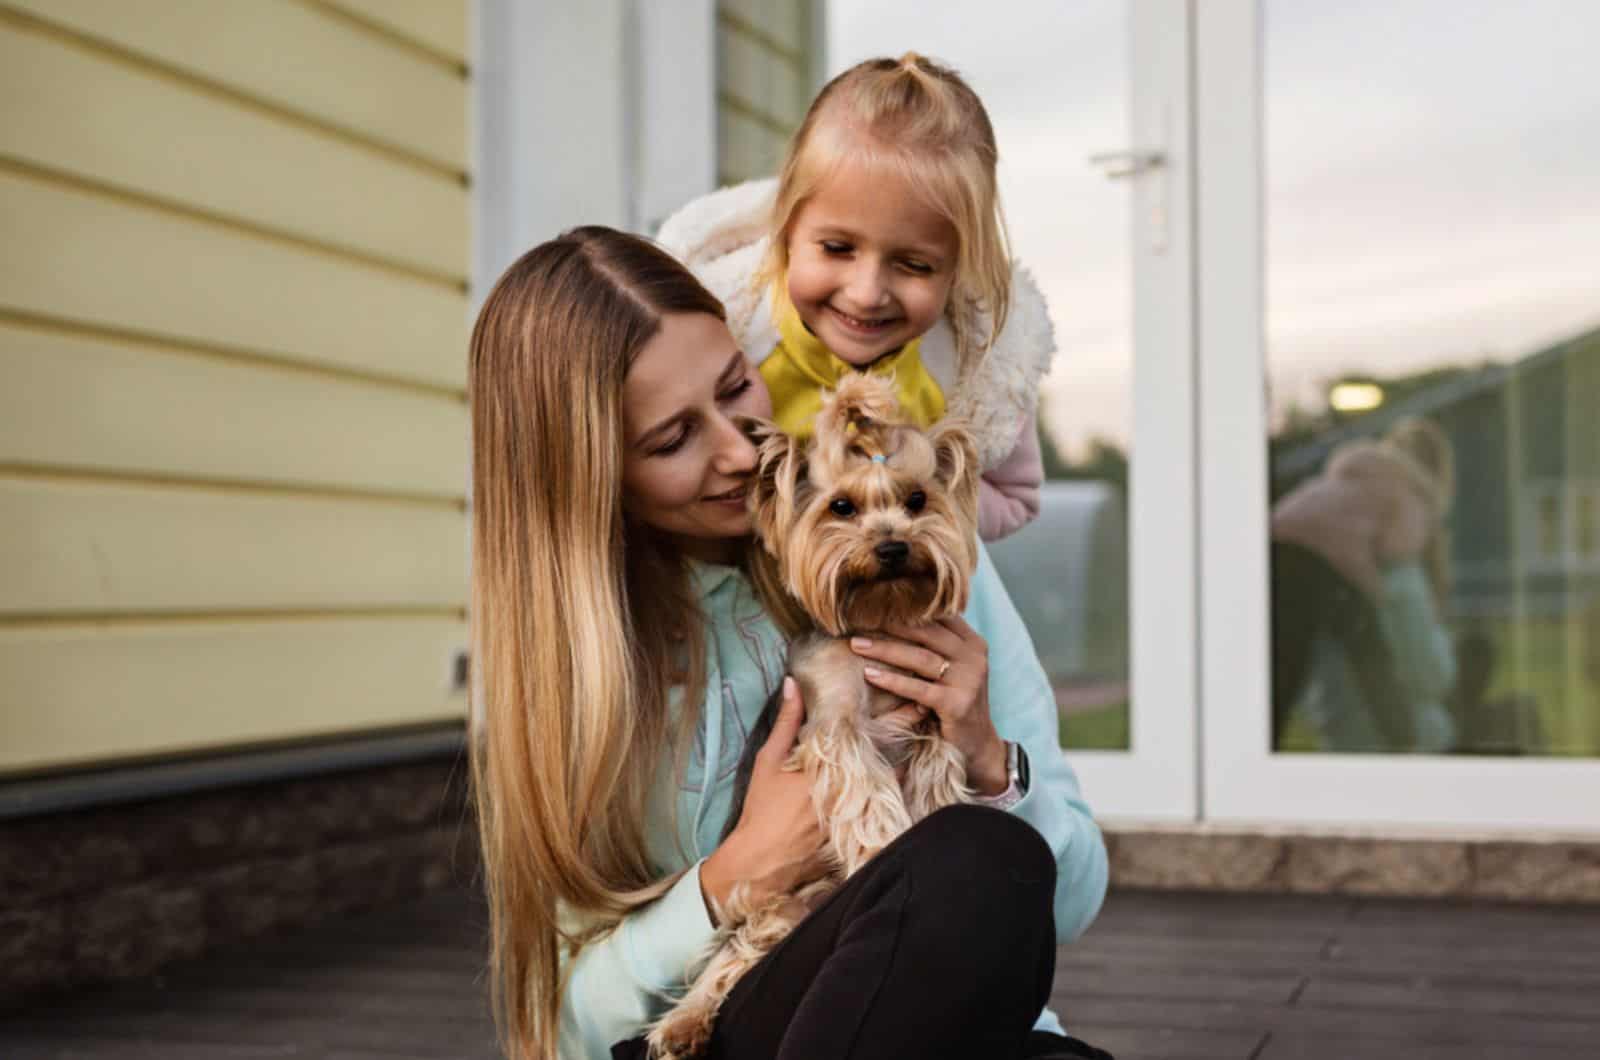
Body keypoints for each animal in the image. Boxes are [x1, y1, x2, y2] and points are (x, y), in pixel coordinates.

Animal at [643, 376, 979, 1060]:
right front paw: (886, 845)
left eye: (916, 499)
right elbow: (864, 788)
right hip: (774, 903)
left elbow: (937, 772)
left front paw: (935, 816)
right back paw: (680, 1025)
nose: (893, 546)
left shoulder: (935, 716)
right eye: (842, 508)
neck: (879, 620)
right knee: (732, 955)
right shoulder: (832, 723)